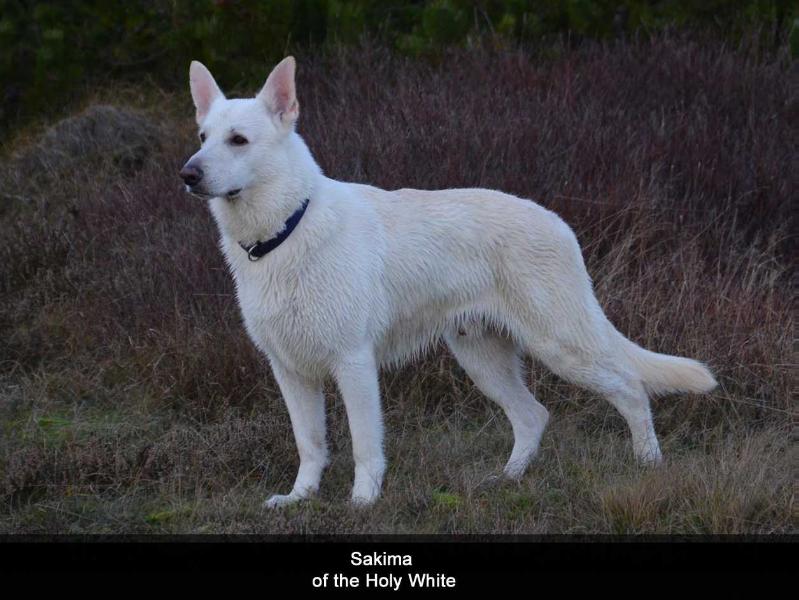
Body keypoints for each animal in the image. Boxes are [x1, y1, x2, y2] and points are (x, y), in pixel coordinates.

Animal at [181, 55, 720, 506]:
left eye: (238, 140)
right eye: (204, 137)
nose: (187, 174)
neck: (285, 231)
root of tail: (560, 224)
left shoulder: (353, 363)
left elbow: (363, 445)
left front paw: (362, 502)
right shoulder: (290, 371)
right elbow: (310, 445)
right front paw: (299, 499)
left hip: (563, 346)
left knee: (631, 389)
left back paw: (648, 463)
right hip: (482, 359)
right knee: (534, 415)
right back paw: (506, 480)